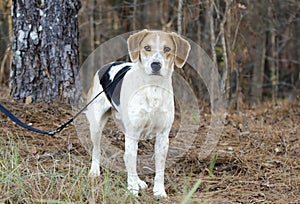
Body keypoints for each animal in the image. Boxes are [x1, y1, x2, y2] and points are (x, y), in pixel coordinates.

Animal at [85, 29, 191, 197]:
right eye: (147, 47)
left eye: (167, 49)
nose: (156, 65)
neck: (153, 88)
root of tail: (107, 65)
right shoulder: (133, 132)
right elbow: (131, 161)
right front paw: (132, 189)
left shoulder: (163, 136)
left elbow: (159, 169)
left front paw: (159, 191)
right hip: (96, 125)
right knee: (97, 149)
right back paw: (95, 171)